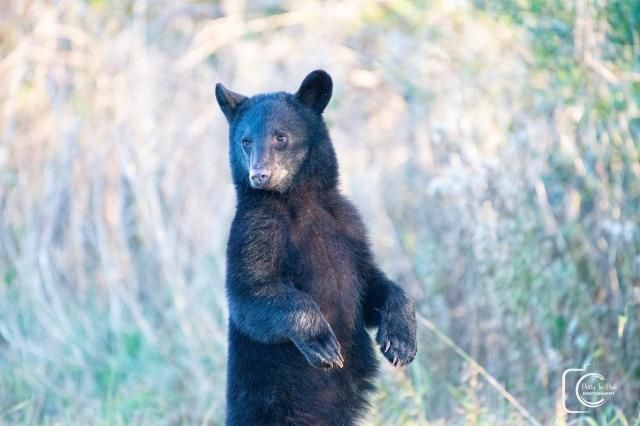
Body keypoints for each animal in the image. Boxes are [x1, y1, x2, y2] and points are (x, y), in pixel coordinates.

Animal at [215, 70, 417, 426]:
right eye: (245, 141)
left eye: (280, 137)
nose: (259, 175)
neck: (299, 199)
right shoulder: (255, 227)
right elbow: (251, 293)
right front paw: (323, 344)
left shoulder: (349, 227)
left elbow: (372, 283)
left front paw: (401, 340)